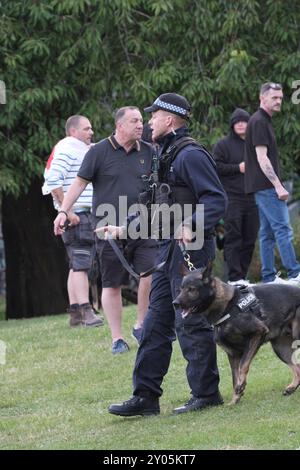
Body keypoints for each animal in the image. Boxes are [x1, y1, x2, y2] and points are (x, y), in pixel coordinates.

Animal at [172, 264, 300, 404]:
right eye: (181, 289)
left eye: (192, 289)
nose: (175, 303)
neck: (226, 307)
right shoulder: (233, 354)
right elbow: (234, 377)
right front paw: (234, 400)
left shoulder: (257, 334)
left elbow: (243, 366)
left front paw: (241, 385)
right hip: (281, 349)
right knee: (297, 368)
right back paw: (292, 387)